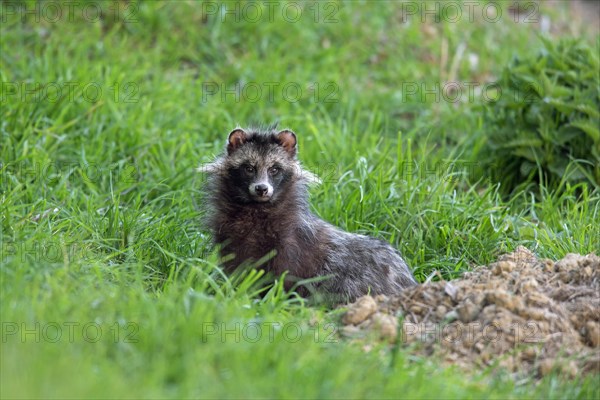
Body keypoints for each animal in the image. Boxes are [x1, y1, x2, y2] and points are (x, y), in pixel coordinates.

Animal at [202, 126, 418, 302]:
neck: (256, 208)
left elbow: (285, 273)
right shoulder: (230, 236)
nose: (262, 189)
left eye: (274, 169)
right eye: (248, 168)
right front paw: (233, 290)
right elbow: (235, 266)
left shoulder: (291, 241)